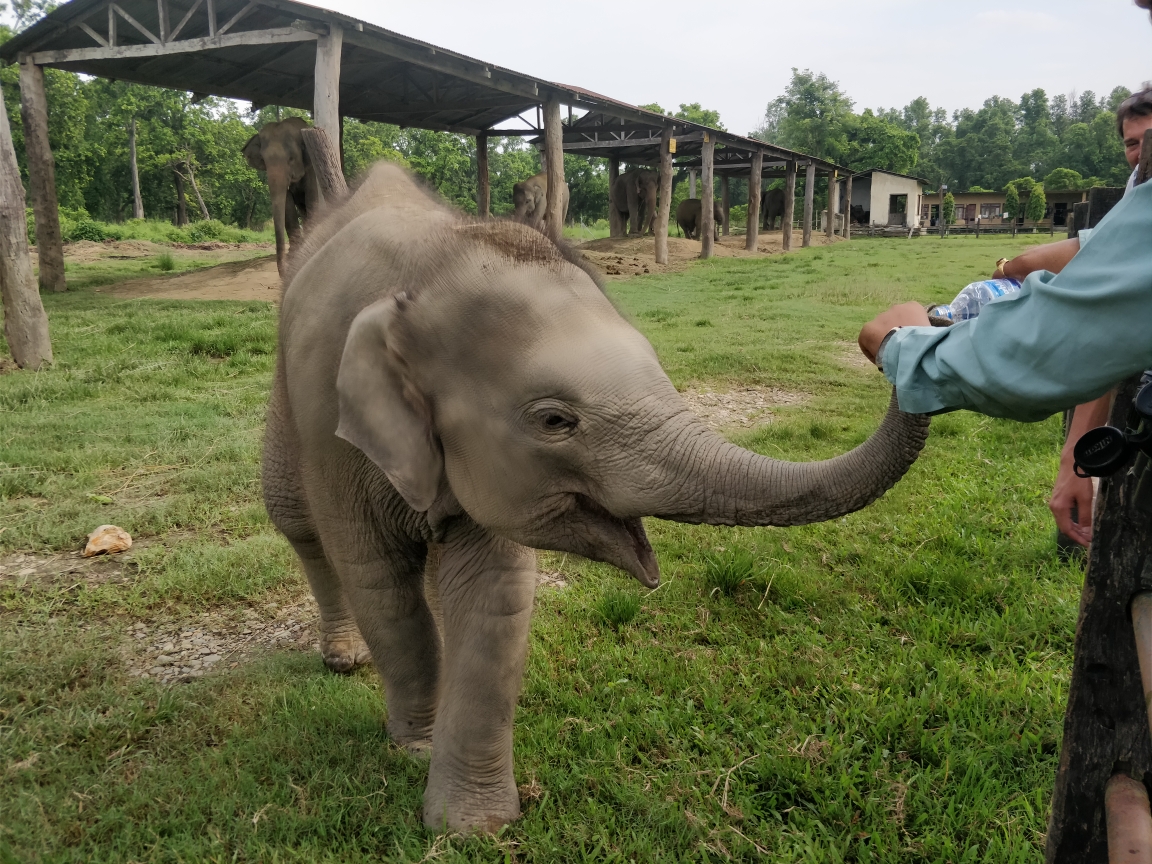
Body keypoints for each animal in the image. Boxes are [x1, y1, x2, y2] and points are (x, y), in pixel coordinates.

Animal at [239, 116, 320, 275]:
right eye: (263, 160)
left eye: (291, 158)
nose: (286, 265)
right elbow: (287, 202)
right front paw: (297, 254)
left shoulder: (311, 169)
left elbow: (311, 197)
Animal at [261, 162, 926, 838]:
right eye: (555, 421)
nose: (908, 322)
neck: (430, 269)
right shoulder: (332, 428)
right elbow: (379, 585)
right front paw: (417, 751)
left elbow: (495, 594)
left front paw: (474, 826)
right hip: (287, 403)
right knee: (296, 518)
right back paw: (344, 657)